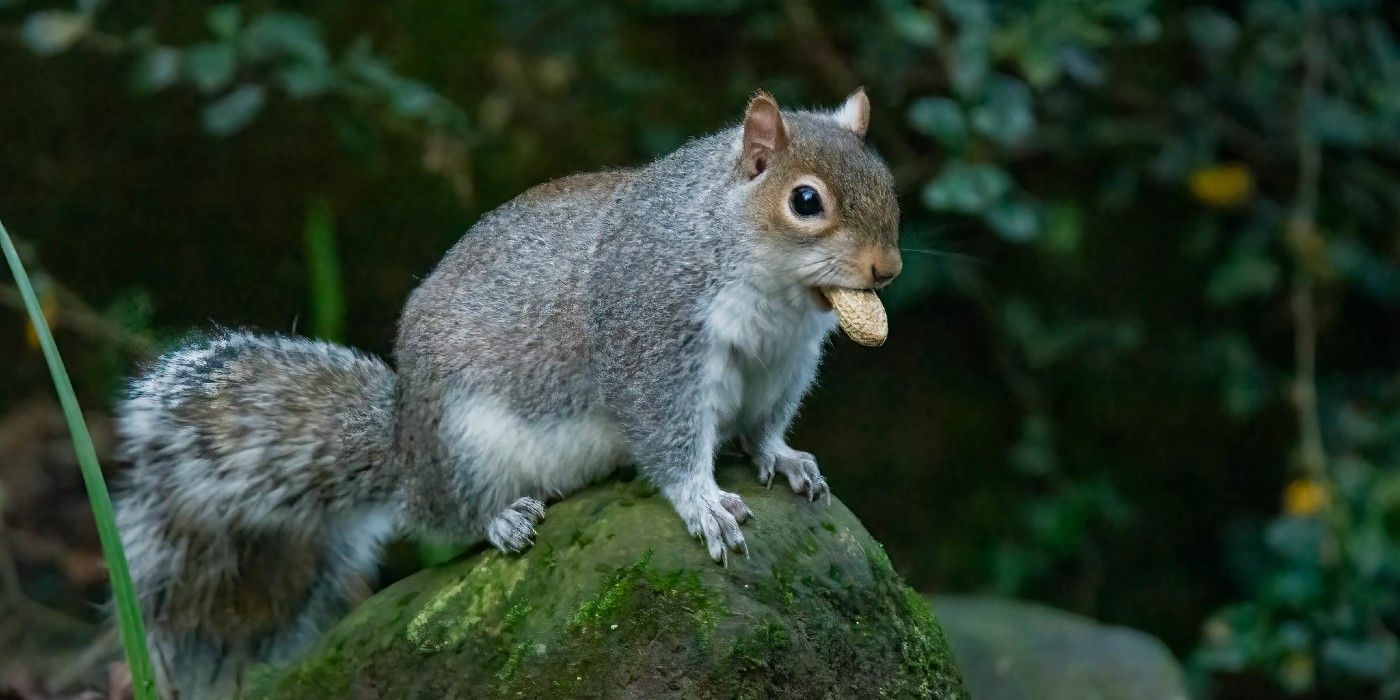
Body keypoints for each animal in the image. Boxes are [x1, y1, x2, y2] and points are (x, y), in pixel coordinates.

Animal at [113, 89, 902, 698]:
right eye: (805, 201)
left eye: (889, 186)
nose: (887, 269)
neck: (770, 286)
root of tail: (407, 448)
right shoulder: (652, 336)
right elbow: (667, 433)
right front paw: (702, 502)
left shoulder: (783, 365)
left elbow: (765, 424)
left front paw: (786, 458)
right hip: (465, 445)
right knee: (445, 515)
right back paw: (501, 520)